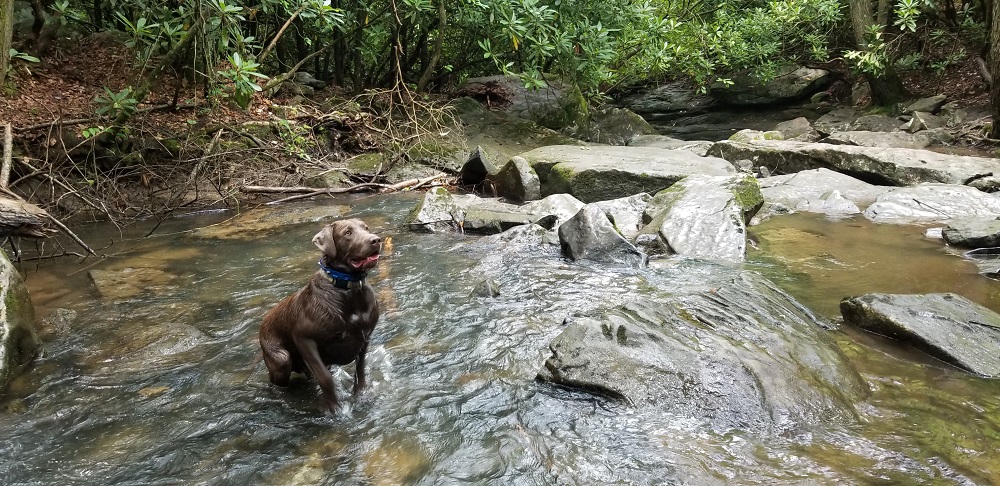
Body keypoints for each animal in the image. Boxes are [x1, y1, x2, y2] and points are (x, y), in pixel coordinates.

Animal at [259, 218, 382, 412]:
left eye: (366, 228)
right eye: (348, 233)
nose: (376, 240)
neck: (348, 291)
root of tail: (262, 322)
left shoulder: (366, 337)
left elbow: (360, 369)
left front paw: (361, 393)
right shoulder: (304, 338)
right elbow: (325, 377)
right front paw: (332, 407)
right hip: (281, 360)